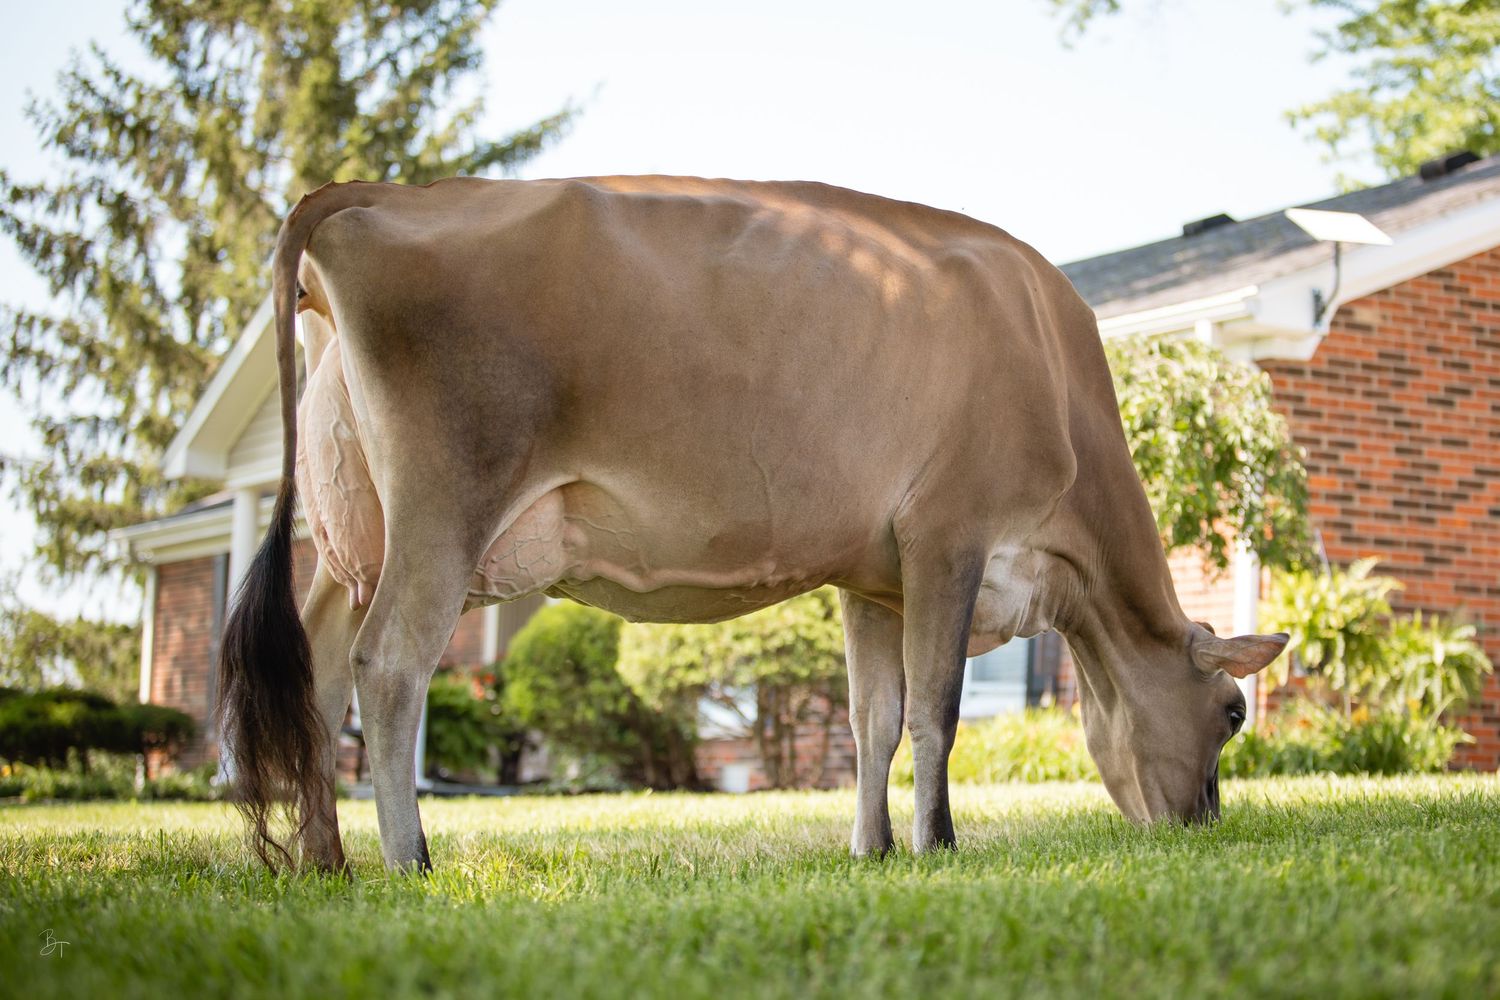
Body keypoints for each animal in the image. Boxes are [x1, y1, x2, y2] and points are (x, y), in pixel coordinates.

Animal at [218, 175, 1287, 873]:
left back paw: (325, 860)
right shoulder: (950, 533)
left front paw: (872, 849)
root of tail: (384, 193)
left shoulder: (875, 574)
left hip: (347, 536)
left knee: (316, 674)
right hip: (446, 504)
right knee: (388, 664)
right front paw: (938, 845)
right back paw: (409, 859)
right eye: (1232, 714)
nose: (1202, 823)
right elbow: (936, 709)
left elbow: (873, 718)